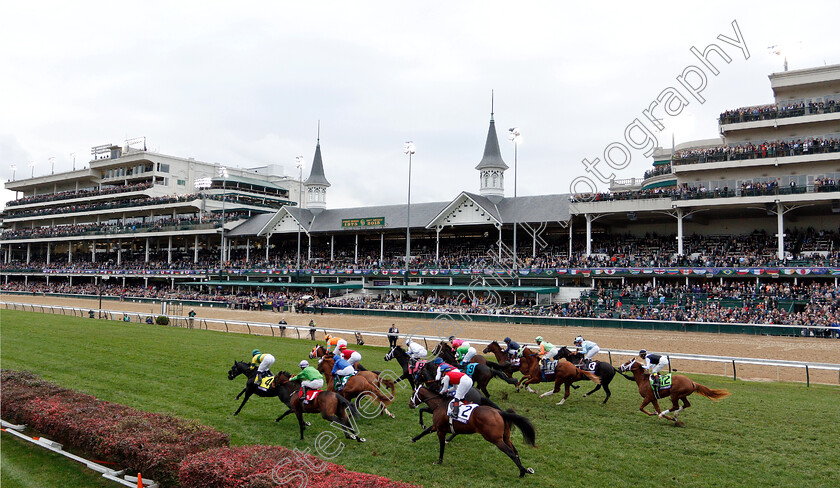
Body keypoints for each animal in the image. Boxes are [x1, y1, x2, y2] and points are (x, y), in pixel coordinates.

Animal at [408, 386, 540, 476]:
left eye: (413, 393)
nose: (410, 404)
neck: (439, 404)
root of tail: (500, 412)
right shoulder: (436, 426)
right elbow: (425, 432)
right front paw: (413, 439)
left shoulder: (440, 430)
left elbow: (441, 446)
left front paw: (439, 461)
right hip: (505, 437)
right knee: (515, 451)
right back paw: (525, 469)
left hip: (495, 439)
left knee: (510, 452)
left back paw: (522, 472)